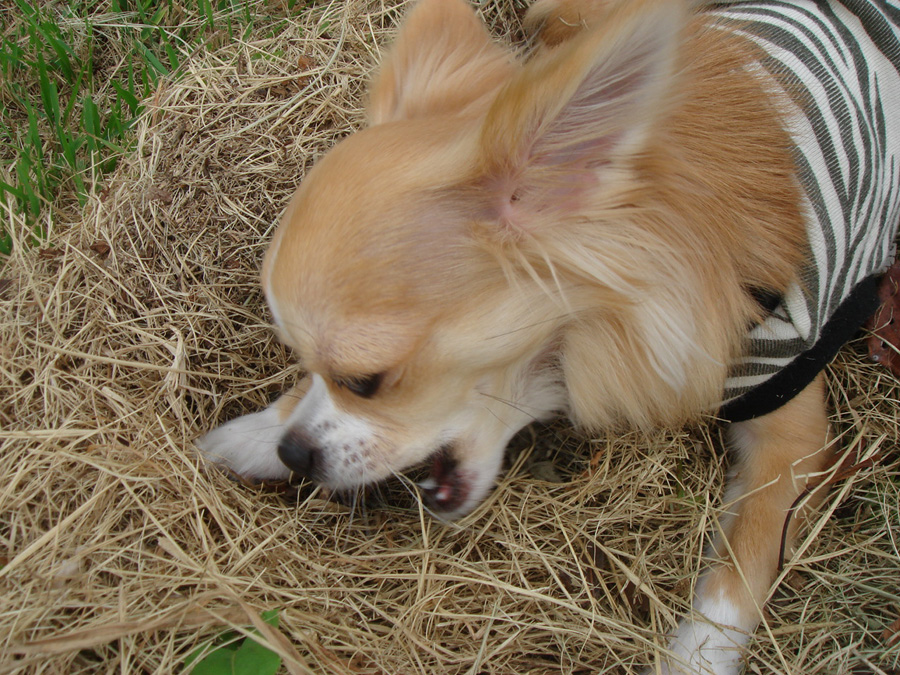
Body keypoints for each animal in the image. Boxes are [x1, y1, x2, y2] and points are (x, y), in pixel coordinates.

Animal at [197, 0, 900, 671]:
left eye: (365, 382)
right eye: (308, 370)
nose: (294, 453)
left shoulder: (790, 430)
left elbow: (739, 570)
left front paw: (695, 657)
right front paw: (258, 432)